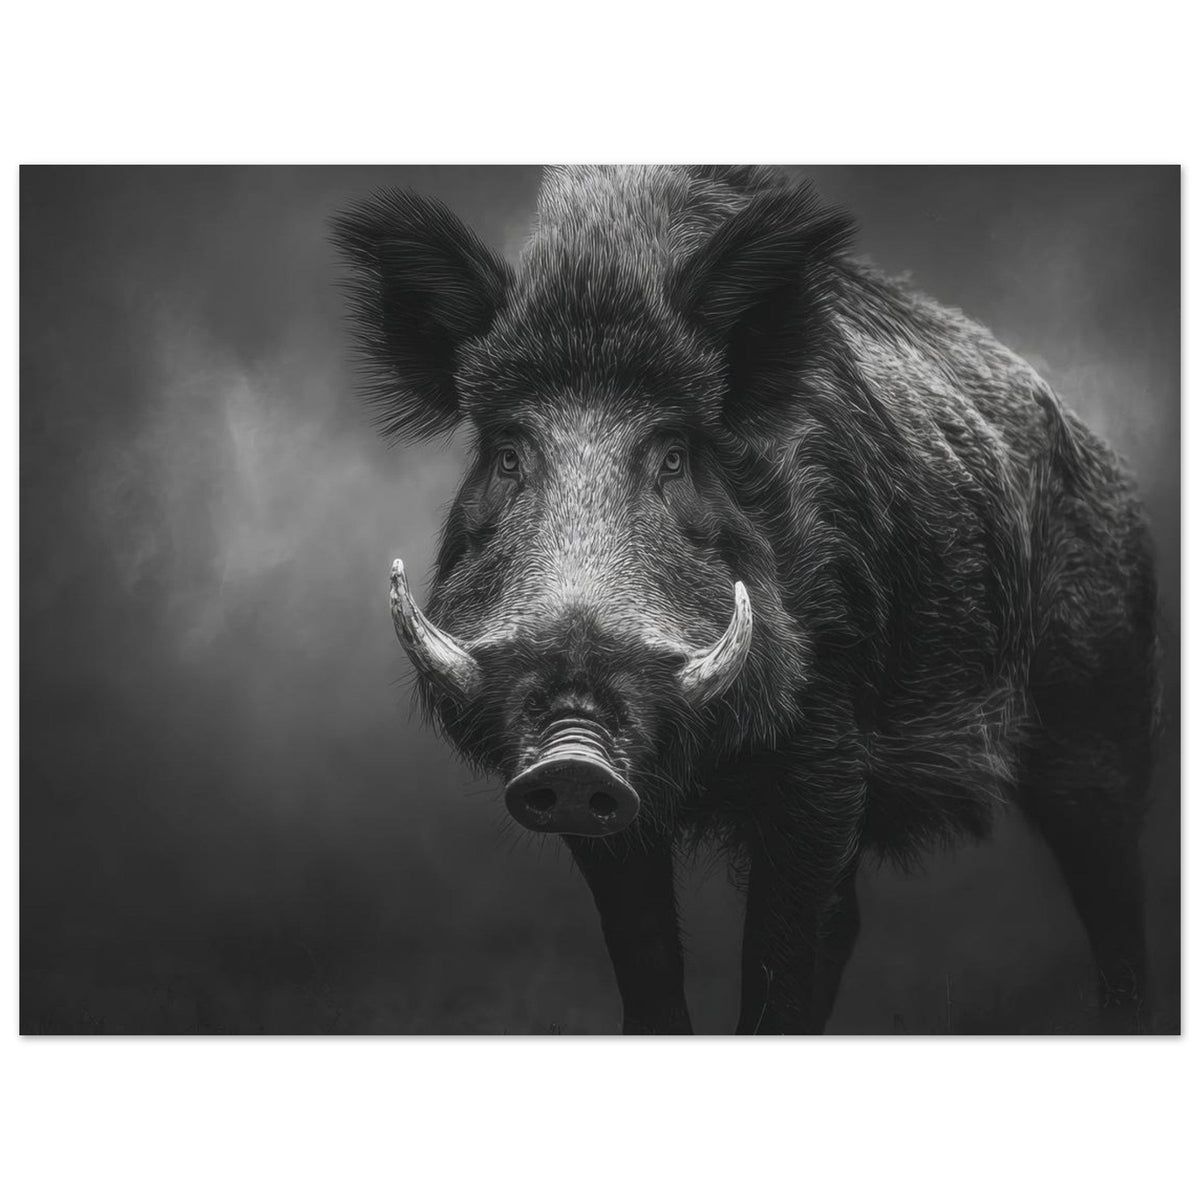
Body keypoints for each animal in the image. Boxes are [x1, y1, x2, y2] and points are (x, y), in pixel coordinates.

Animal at [332, 166, 1160, 1034]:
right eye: (507, 455)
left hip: (1103, 717)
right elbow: (647, 955)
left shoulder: (827, 748)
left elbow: (782, 953)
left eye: (674, 454)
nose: (574, 747)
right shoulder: (592, 808)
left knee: (1111, 891)